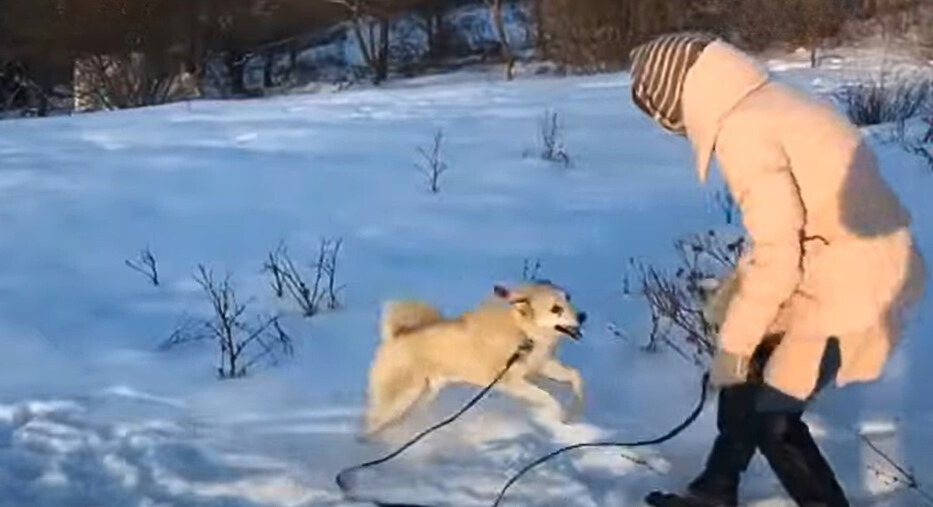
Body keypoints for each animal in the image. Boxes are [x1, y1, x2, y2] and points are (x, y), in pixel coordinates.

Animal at [362, 282, 588, 436]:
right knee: (374, 418)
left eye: (568, 298)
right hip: (402, 396)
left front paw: (575, 410)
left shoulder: (542, 365)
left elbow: (575, 376)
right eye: (556, 309)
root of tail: (396, 334)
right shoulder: (509, 381)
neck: (524, 333)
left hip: (423, 395)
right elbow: (547, 397)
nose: (583, 316)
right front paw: (558, 417)